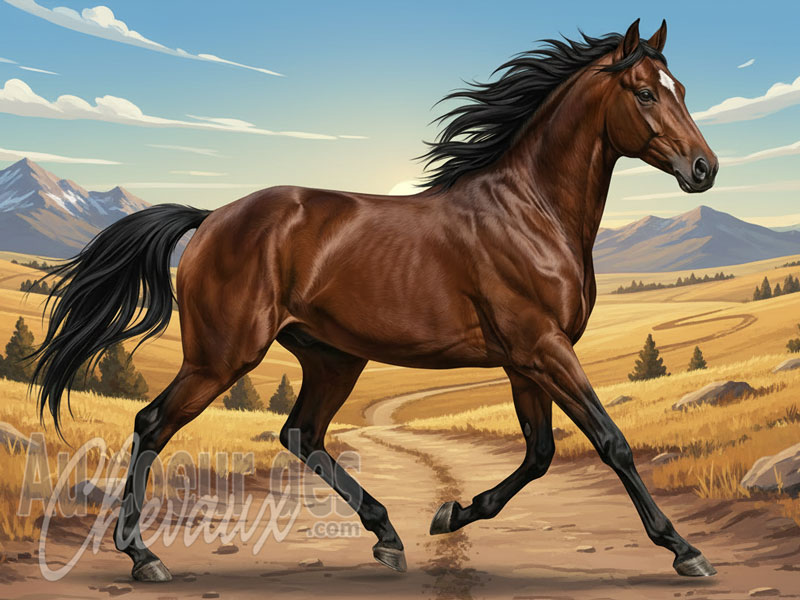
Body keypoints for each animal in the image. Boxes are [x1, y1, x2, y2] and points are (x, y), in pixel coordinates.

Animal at [32, 19, 718, 582]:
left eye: (682, 88)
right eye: (645, 92)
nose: (704, 168)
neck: (531, 211)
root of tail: (212, 218)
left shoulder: (528, 360)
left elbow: (540, 453)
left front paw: (450, 514)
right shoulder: (543, 350)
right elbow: (611, 441)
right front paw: (684, 550)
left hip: (332, 357)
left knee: (301, 433)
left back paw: (388, 535)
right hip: (222, 358)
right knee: (154, 424)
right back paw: (142, 555)